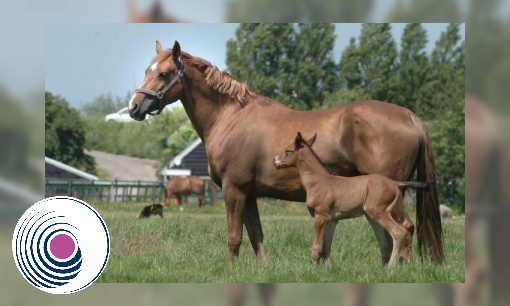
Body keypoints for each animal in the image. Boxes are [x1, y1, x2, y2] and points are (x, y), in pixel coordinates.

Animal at [272, 133, 432, 266]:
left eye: (288, 150)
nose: (275, 161)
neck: (318, 181)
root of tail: (395, 183)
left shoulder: (320, 217)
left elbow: (316, 247)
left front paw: (313, 269)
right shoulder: (332, 220)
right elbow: (326, 247)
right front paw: (327, 269)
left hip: (377, 212)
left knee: (399, 233)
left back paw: (391, 267)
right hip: (380, 214)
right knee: (397, 234)